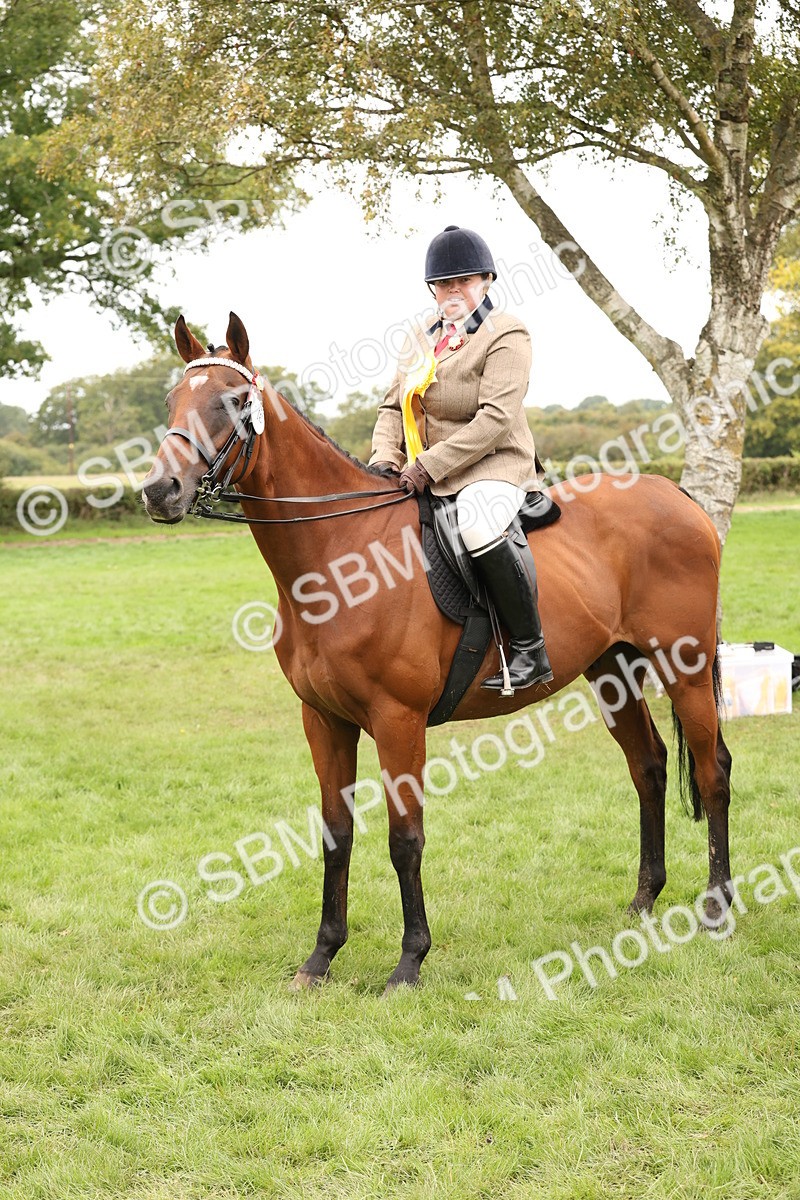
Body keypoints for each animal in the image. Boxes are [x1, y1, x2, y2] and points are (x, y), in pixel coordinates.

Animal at [141, 312, 733, 994]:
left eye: (235, 402)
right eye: (171, 401)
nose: (160, 490)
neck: (339, 554)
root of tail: (678, 497)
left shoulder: (398, 722)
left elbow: (405, 839)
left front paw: (408, 963)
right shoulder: (324, 721)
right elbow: (336, 833)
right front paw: (321, 958)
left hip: (685, 667)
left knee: (713, 771)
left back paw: (717, 907)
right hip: (612, 671)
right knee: (649, 767)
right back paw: (643, 902)